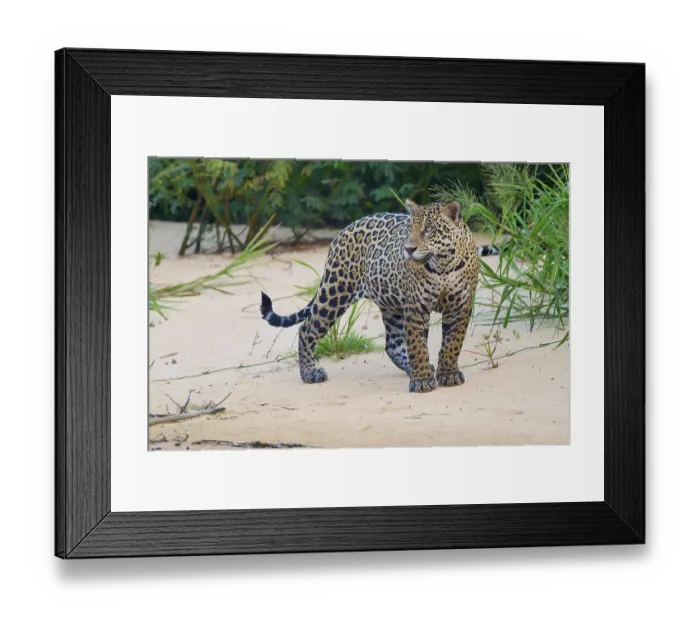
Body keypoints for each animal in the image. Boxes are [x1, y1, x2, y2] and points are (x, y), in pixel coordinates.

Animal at [260, 199, 497, 393]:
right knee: (306, 329)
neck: (443, 266)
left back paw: (417, 368)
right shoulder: (416, 306)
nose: (408, 249)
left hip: (391, 305)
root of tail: (343, 231)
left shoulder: (461, 305)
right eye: (410, 229)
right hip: (336, 291)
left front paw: (447, 374)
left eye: (429, 230)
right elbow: (417, 344)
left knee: (393, 344)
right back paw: (310, 373)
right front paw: (421, 380)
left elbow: (452, 343)